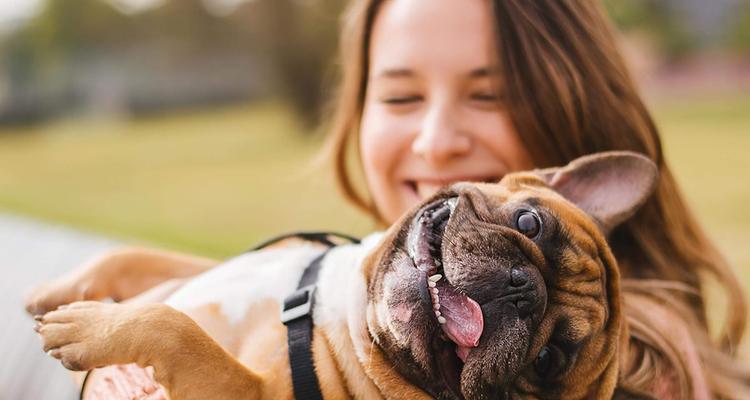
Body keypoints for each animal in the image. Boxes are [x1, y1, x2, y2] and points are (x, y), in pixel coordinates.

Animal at [26, 152, 668, 398]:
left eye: (548, 361)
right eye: (529, 222)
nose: (520, 287)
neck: (345, 311)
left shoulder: (244, 393)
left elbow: (177, 330)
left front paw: (86, 328)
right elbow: (133, 258)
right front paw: (56, 294)